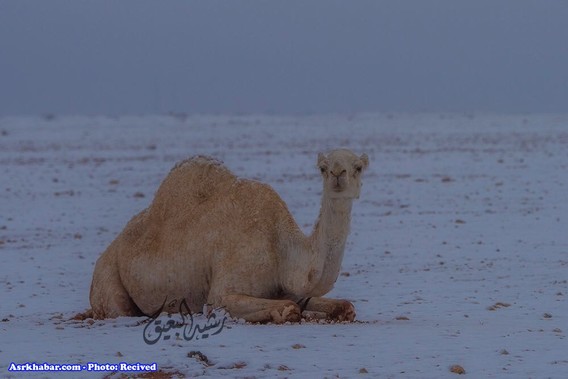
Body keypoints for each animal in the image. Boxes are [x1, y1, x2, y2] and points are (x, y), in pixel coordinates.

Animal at [90, 148, 368, 324]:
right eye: (323, 168)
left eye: (358, 167)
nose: (338, 173)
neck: (282, 250)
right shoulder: (222, 292)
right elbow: (287, 309)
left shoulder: (295, 292)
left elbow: (345, 306)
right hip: (108, 281)